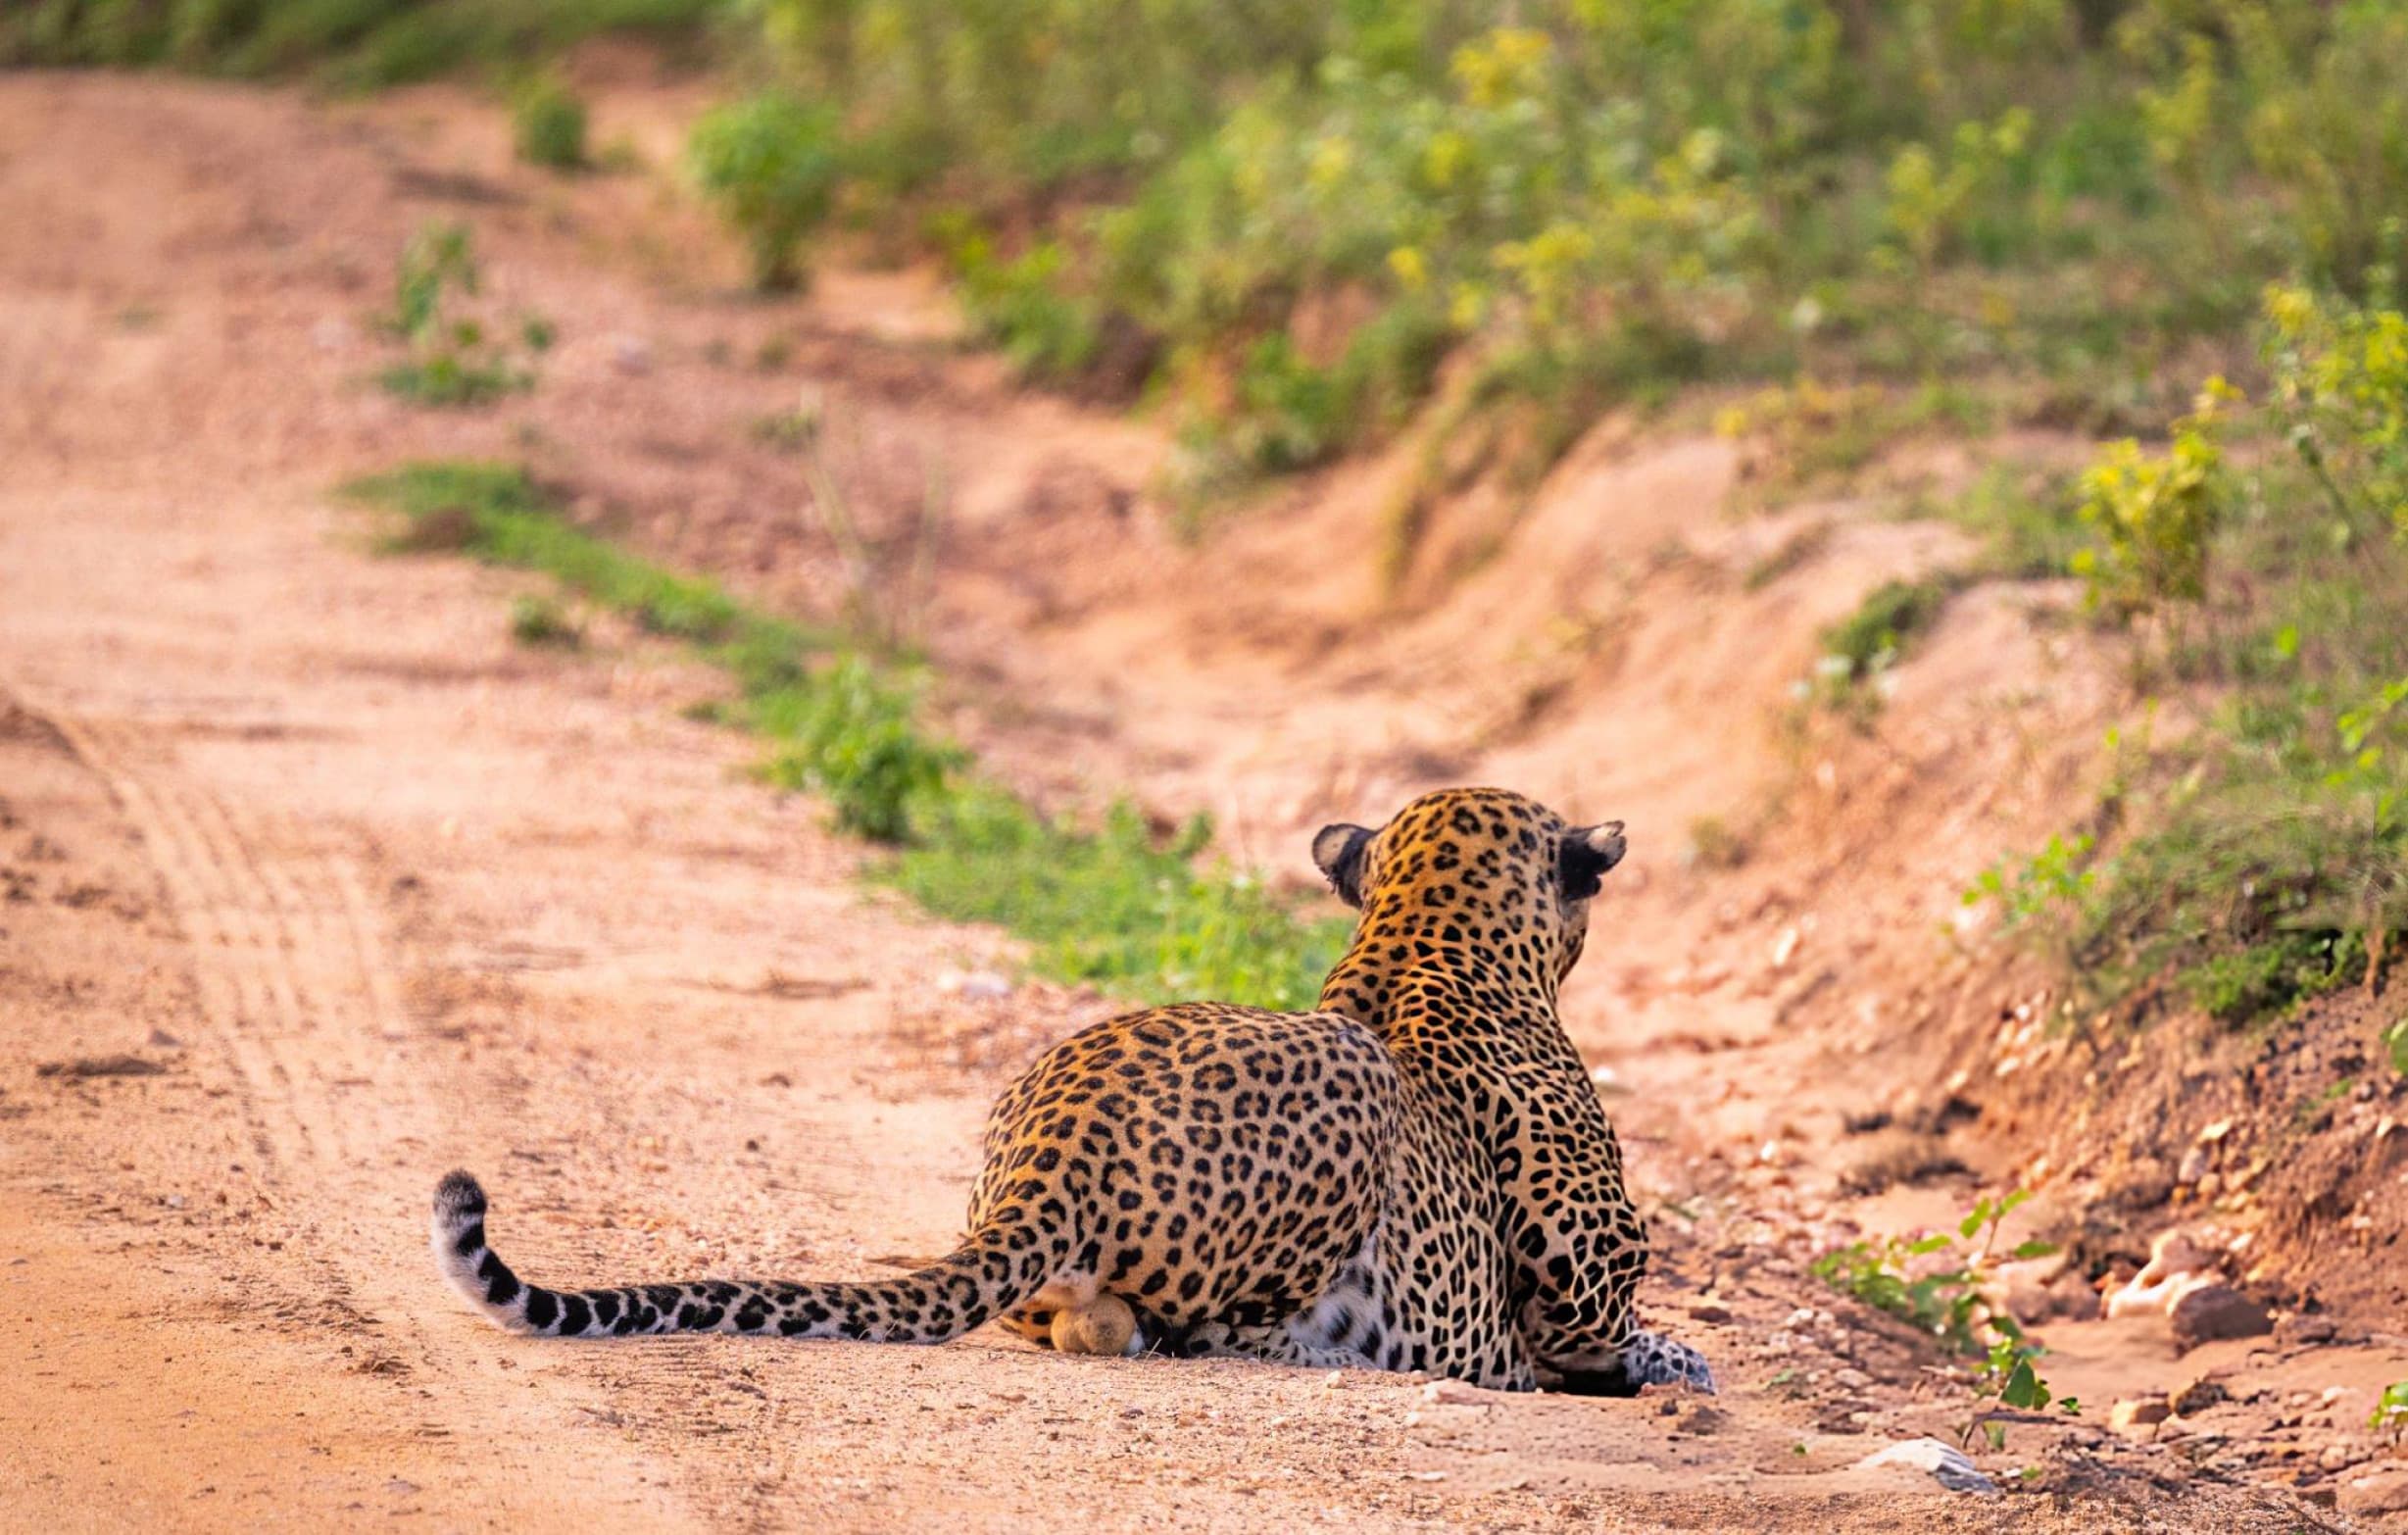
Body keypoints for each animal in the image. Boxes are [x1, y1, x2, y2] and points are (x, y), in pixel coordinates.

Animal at [431, 786, 1714, 1394]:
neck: (1427, 932)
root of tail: (1051, 1156)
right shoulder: (1580, 1275)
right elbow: (1619, 1336)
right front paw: (1681, 1363)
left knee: (1066, 1316)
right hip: (1331, 1130)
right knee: (1190, 1331)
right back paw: (1325, 1354)